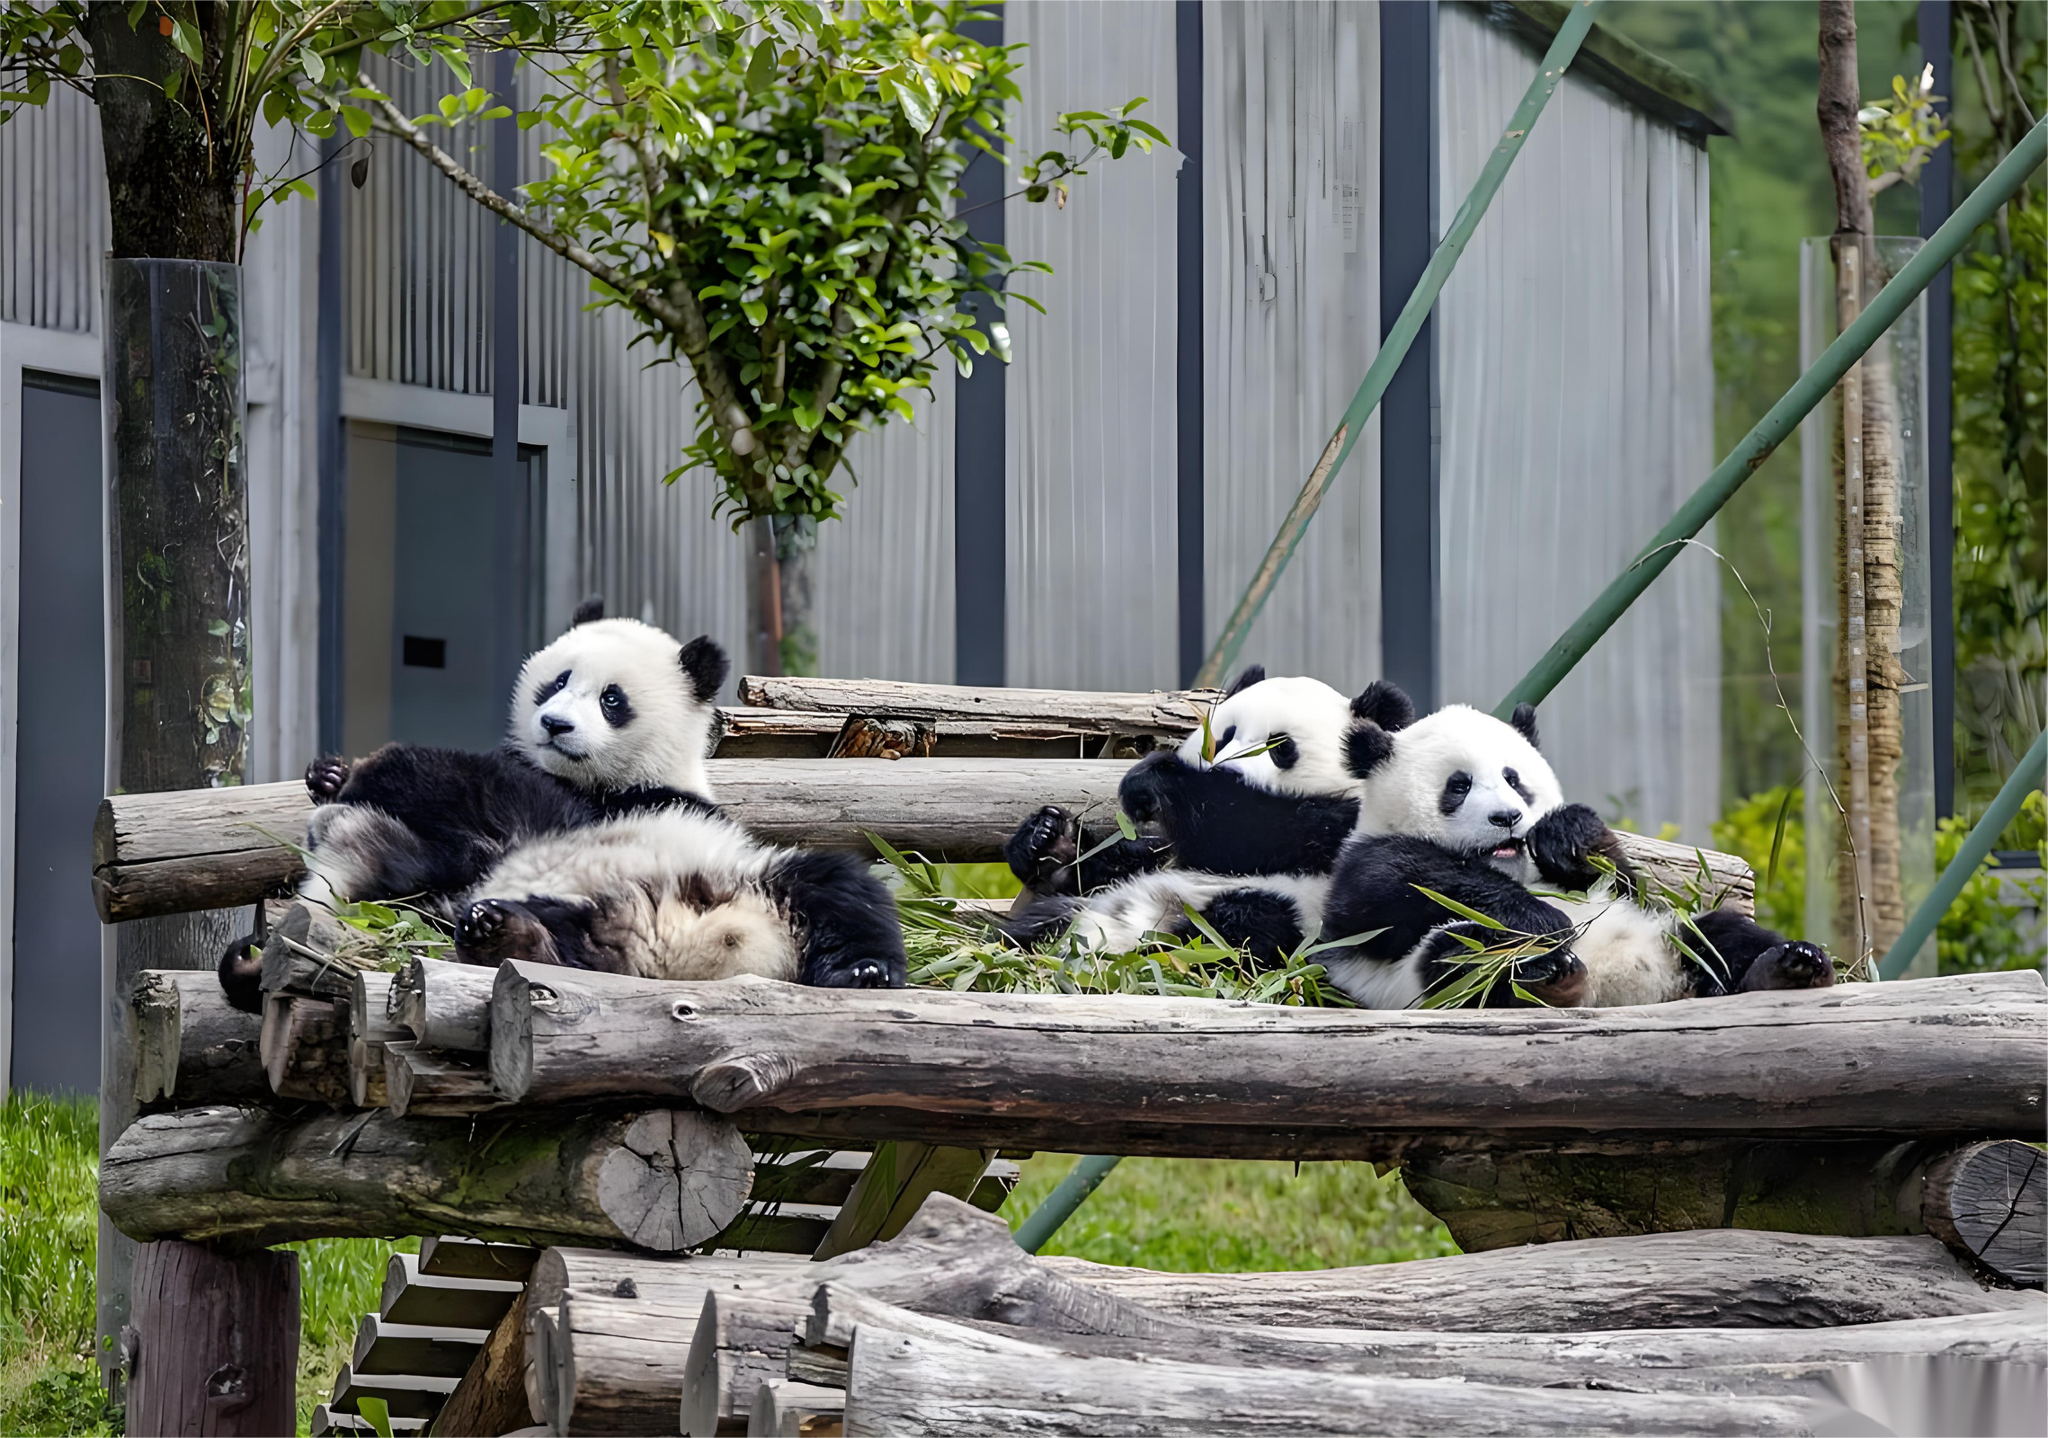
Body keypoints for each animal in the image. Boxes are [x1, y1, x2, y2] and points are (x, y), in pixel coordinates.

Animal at [998, 667, 1412, 961]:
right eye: (1224, 737)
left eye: (1281, 746)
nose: (1228, 770)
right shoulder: (1168, 852)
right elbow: (1145, 849)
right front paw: (1048, 839)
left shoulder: (1346, 824)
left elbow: (1249, 833)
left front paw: (1151, 780)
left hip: (1285, 911)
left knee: (1240, 934)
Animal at [1320, 691, 1836, 1008]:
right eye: (1459, 785)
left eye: (1513, 779)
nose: (1507, 818)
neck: (1514, 870)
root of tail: (1628, 988)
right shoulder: (1359, 864)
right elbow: (1393, 885)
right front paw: (1548, 919)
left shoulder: (1619, 893)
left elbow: (1626, 882)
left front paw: (1567, 836)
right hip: (1432, 975)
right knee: (1462, 951)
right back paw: (1551, 976)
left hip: (1666, 934)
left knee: (1719, 935)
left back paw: (1790, 967)